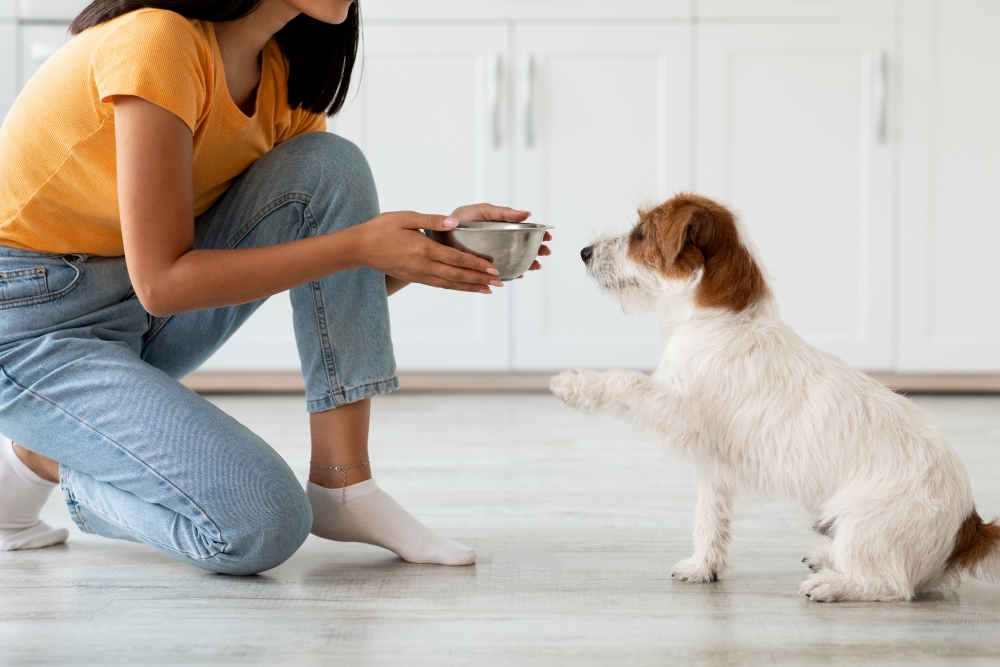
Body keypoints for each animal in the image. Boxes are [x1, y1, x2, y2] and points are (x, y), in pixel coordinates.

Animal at [552, 194, 996, 604]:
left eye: (641, 234)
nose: (584, 252)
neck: (720, 319)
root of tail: (968, 526)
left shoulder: (678, 412)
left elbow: (627, 381)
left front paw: (574, 385)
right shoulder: (714, 466)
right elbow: (709, 519)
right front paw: (703, 567)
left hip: (864, 523)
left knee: (890, 585)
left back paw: (832, 585)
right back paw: (826, 558)